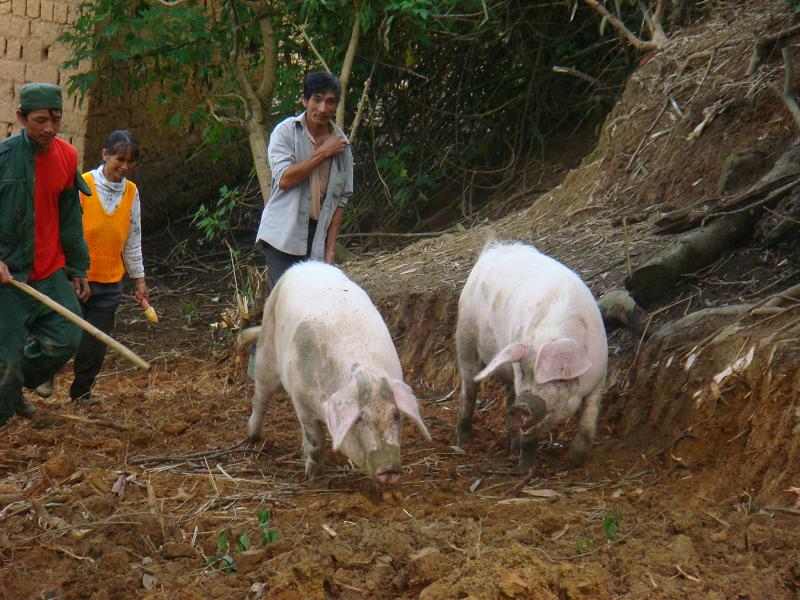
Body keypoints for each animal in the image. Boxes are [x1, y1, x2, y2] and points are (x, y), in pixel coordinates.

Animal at [244, 262, 432, 488]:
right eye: (360, 418)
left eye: (395, 415)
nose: (389, 470)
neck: (366, 374)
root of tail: (303, 265)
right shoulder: (302, 402)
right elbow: (315, 440)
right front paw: (314, 480)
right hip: (266, 348)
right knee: (260, 398)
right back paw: (253, 437)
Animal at [456, 241, 608, 472]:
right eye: (523, 370)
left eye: (557, 377)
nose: (523, 406)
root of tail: (491, 251)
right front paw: (526, 470)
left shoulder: (598, 379)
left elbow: (588, 422)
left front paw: (573, 461)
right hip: (466, 338)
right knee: (469, 390)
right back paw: (464, 440)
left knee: (508, 396)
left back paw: (512, 445)